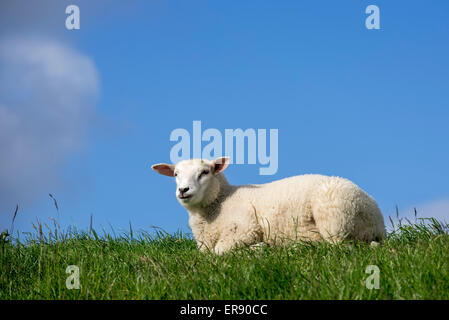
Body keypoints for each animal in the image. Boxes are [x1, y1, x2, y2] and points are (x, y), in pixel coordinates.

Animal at [150, 158, 384, 255]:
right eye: (176, 174)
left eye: (205, 172)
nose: (183, 190)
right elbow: (208, 253)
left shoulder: (245, 228)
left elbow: (219, 251)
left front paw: (258, 248)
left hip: (335, 218)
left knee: (337, 247)